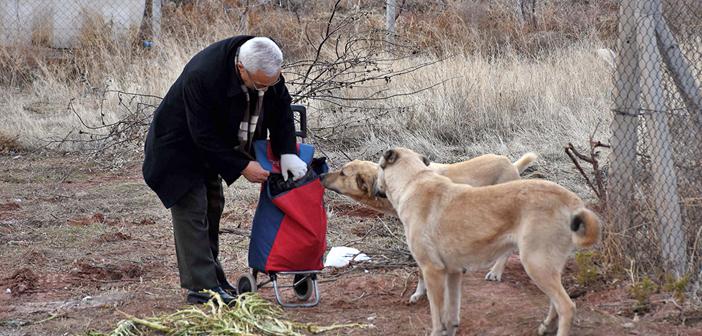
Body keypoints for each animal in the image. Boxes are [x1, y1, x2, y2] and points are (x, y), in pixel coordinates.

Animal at [376, 148, 604, 336]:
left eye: (378, 167)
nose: (374, 189)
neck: (414, 180)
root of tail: (572, 200)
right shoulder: (453, 272)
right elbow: (451, 316)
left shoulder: (433, 271)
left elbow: (437, 318)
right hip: (546, 266)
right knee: (555, 303)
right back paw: (546, 326)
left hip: (535, 263)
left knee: (566, 306)